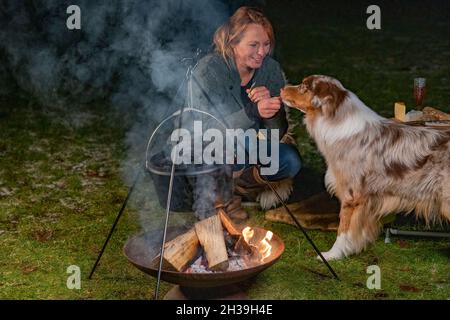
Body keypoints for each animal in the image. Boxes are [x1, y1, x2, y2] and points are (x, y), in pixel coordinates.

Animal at [282, 75, 450, 260]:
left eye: (304, 86)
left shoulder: (351, 196)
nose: (282, 88)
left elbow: (343, 230)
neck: (335, 121)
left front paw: (332, 254)